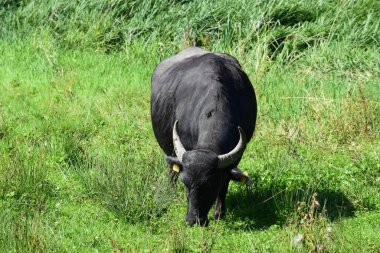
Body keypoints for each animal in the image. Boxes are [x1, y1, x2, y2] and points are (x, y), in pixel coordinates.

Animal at [150, 47, 256, 225]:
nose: (192, 220)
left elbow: (226, 182)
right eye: (185, 183)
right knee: (171, 171)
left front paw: (219, 213)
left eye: (210, 184)